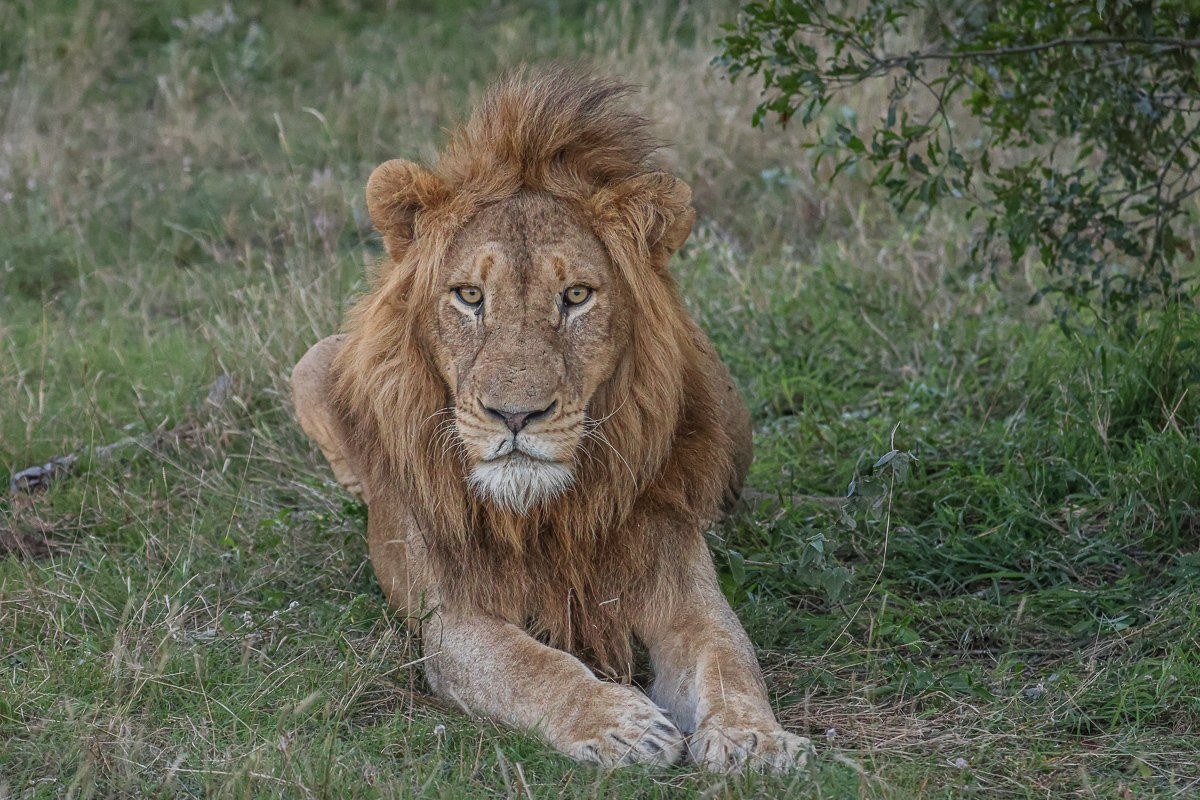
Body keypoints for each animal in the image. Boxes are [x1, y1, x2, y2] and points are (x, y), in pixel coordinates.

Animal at [291, 68, 812, 772]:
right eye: (470, 296)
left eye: (577, 296)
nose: (515, 415)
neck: (543, 516)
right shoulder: (451, 616)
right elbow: (527, 666)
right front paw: (622, 724)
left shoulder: (678, 577)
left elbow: (728, 653)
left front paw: (756, 738)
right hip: (311, 365)